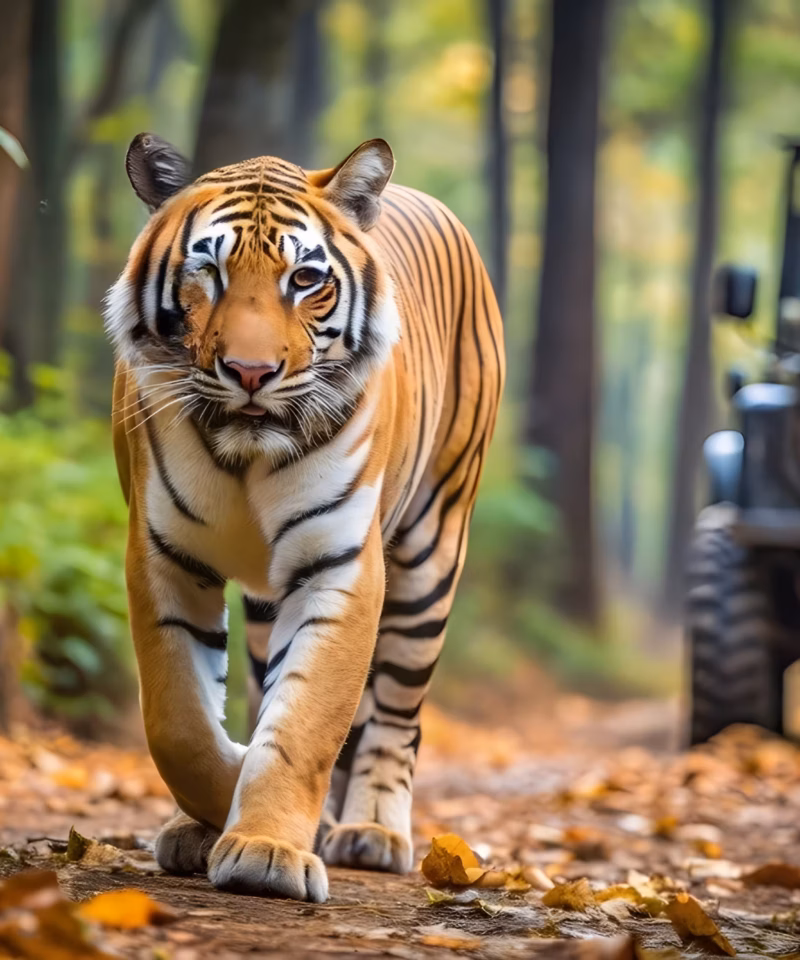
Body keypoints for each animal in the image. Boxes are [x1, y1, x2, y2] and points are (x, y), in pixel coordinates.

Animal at [106, 132, 504, 902]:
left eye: (304, 279)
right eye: (209, 270)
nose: (251, 372)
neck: (244, 456)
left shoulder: (338, 565)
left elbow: (304, 723)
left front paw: (265, 849)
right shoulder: (163, 556)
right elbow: (179, 722)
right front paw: (217, 809)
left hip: (433, 548)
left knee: (397, 714)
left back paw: (373, 831)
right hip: (268, 604)